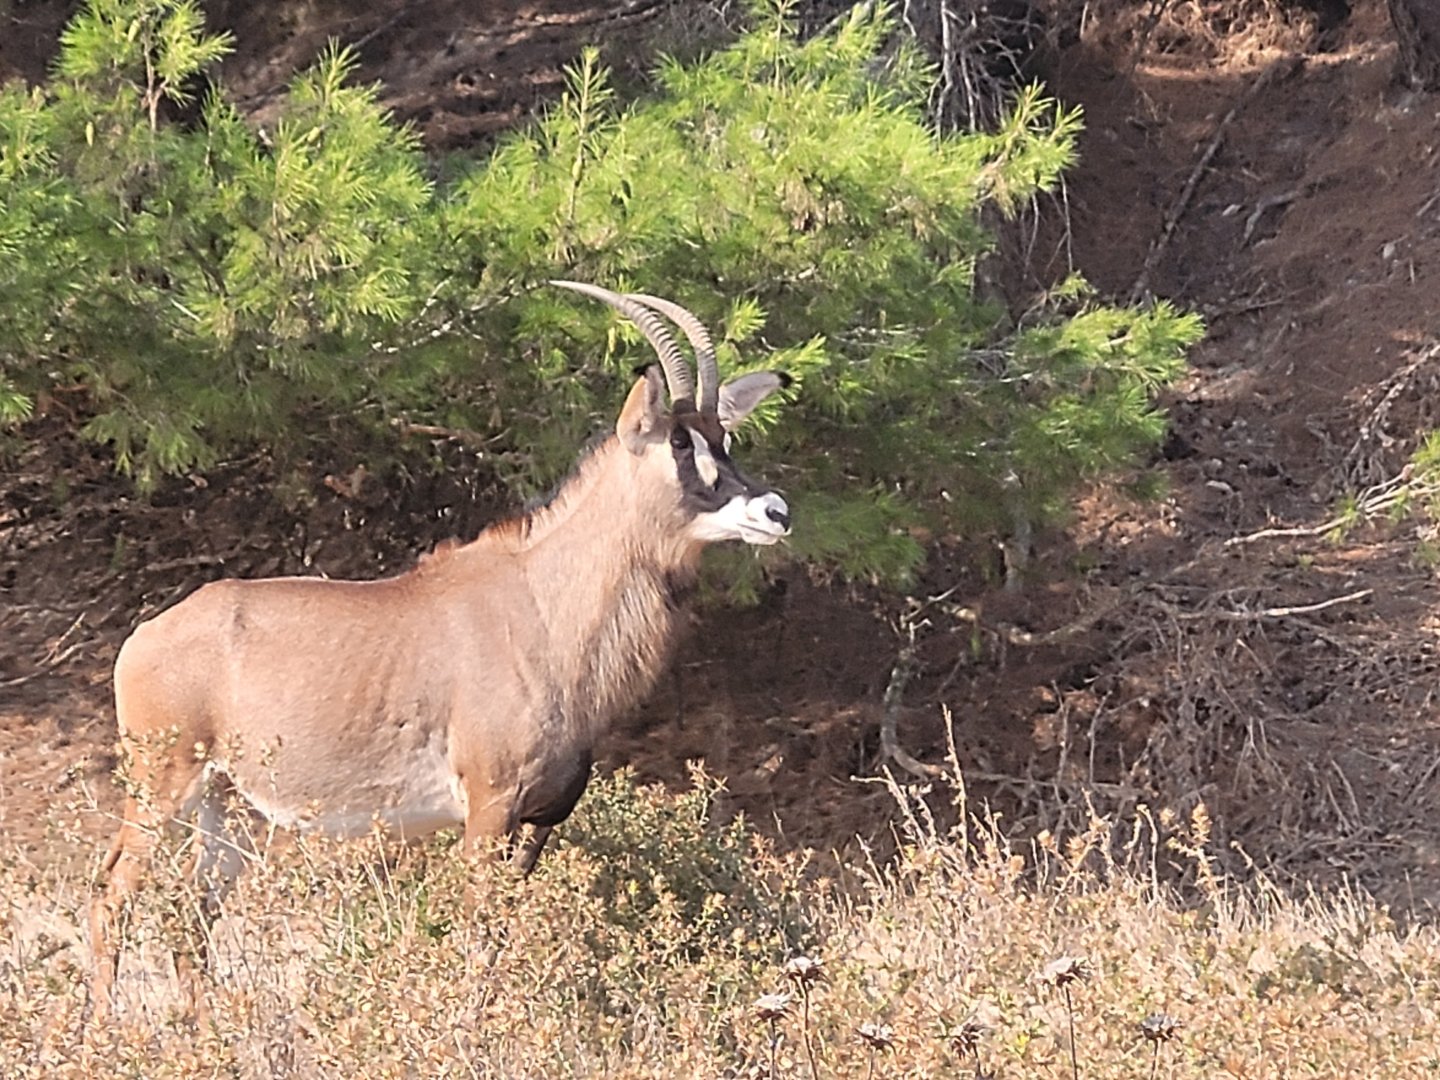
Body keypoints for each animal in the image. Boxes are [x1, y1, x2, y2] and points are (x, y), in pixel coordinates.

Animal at [88, 281, 792, 1018]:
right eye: (680, 444)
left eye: (726, 437)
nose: (774, 511)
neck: (542, 601)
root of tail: (143, 638)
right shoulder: (488, 808)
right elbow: (477, 936)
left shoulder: (539, 820)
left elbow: (502, 935)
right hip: (161, 784)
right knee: (113, 894)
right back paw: (94, 1029)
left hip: (227, 807)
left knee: (193, 913)